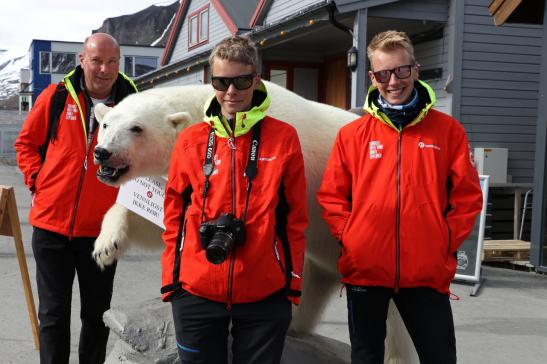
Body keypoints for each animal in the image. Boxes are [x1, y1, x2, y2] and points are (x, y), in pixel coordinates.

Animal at [93, 81, 420, 362]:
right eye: (106, 125)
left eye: (137, 128)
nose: (102, 152)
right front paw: (106, 246)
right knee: (313, 281)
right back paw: (295, 324)